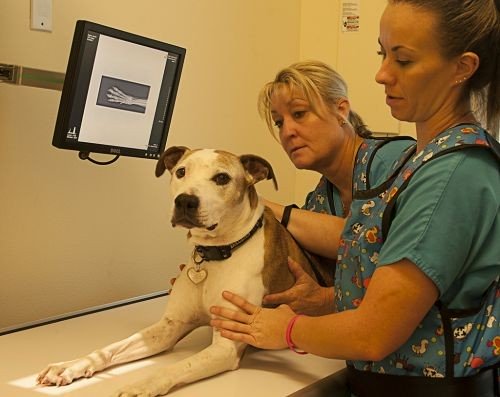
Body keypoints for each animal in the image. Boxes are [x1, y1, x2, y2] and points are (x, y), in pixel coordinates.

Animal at [36, 146, 332, 396]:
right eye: (181, 172)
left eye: (222, 178)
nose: (185, 201)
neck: (216, 255)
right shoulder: (170, 327)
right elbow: (110, 348)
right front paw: (71, 365)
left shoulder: (226, 345)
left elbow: (175, 366)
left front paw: (141, 384)